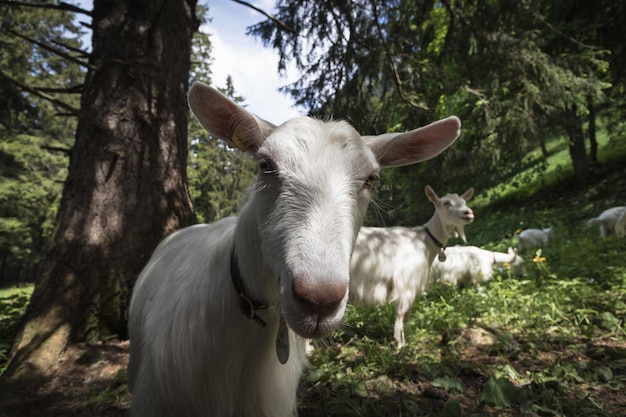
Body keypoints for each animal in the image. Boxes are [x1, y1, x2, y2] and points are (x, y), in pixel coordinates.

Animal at [346, 185, 472, 348]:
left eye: (464, 202)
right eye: (446, 203)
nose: (468, 213)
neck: (424, 242)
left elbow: (407, 315)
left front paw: (408, 338)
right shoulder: (405, 284)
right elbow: (401, 315)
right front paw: (400, 344)